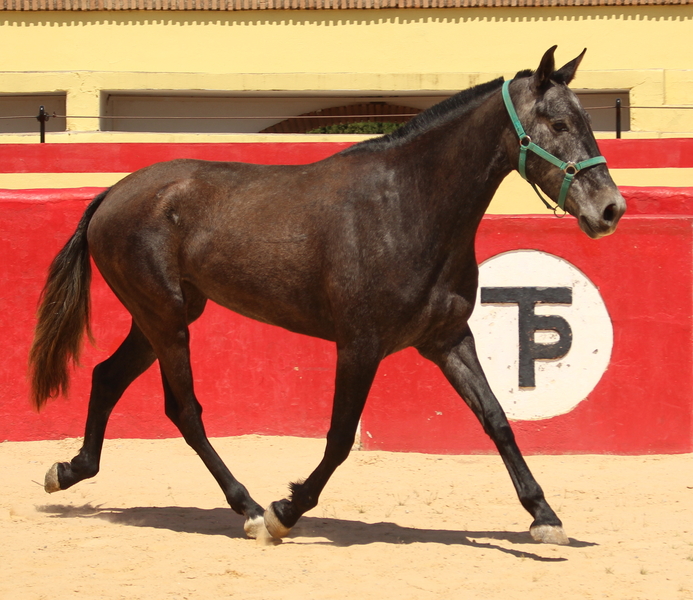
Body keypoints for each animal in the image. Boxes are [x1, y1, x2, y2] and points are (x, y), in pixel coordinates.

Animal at [29, 46, 625, 545]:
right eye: (558, 122)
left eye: (588, 121)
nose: (611, 209)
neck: (407, 205)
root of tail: (112, 193)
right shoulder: (360, 345)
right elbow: (339, 439)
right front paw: (283, 512)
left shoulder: (448, 340)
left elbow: (496, 419)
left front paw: (544, 516)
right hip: (166, 319)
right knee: (185, 410)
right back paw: (247, 507)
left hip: (159, 317)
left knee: (107, 377)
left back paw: (69, 470)